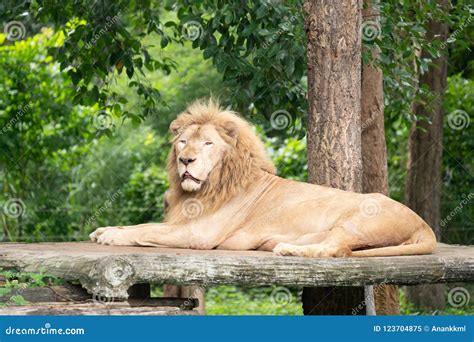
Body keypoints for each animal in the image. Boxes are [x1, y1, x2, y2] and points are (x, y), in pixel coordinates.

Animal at [90, 98, 436, 256]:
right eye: (183, 142)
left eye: (208, 144)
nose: (185, 160)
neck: (208, 187)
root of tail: (424, 225)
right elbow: (142, 225)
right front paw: (104, 229)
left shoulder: (199, 233)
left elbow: (148, 230)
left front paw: (112, 236)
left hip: (358, 221)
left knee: (336, 250)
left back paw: (288, 250)